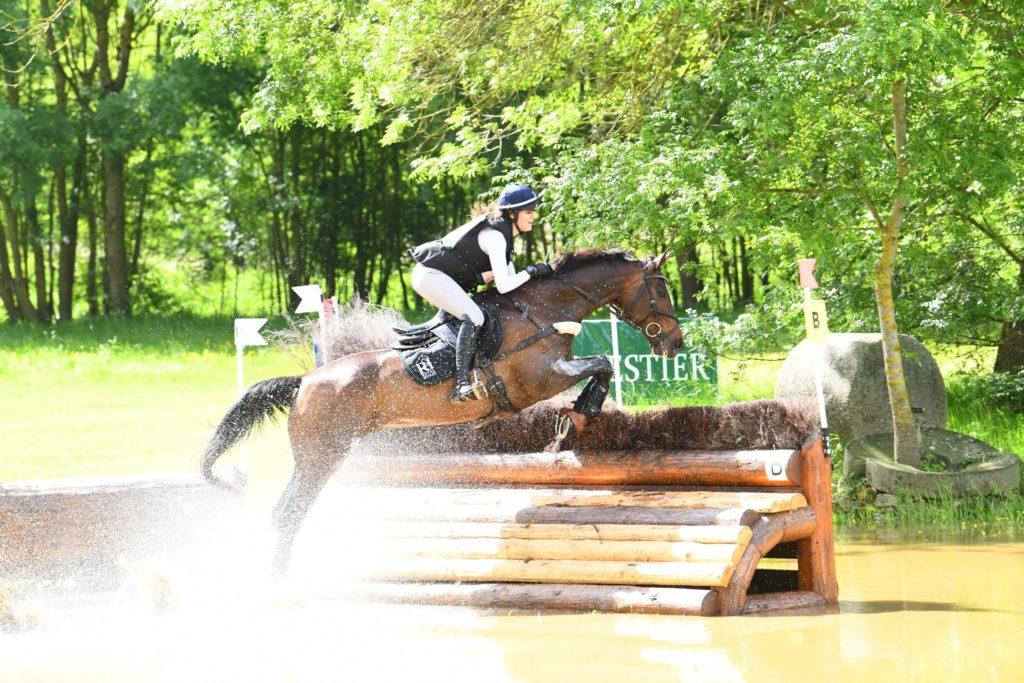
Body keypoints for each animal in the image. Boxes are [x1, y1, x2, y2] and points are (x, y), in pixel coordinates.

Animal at [198, 248, 684, 573]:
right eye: (662, 288)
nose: (675, 344)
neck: (544, 310)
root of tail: (305, 383)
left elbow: (603, 365)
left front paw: (581, 412)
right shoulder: (540, 379)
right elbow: (602, 363)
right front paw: (582, 411)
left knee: (290, 512)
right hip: (321, 456)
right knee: (287, 511)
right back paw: (280, 578)